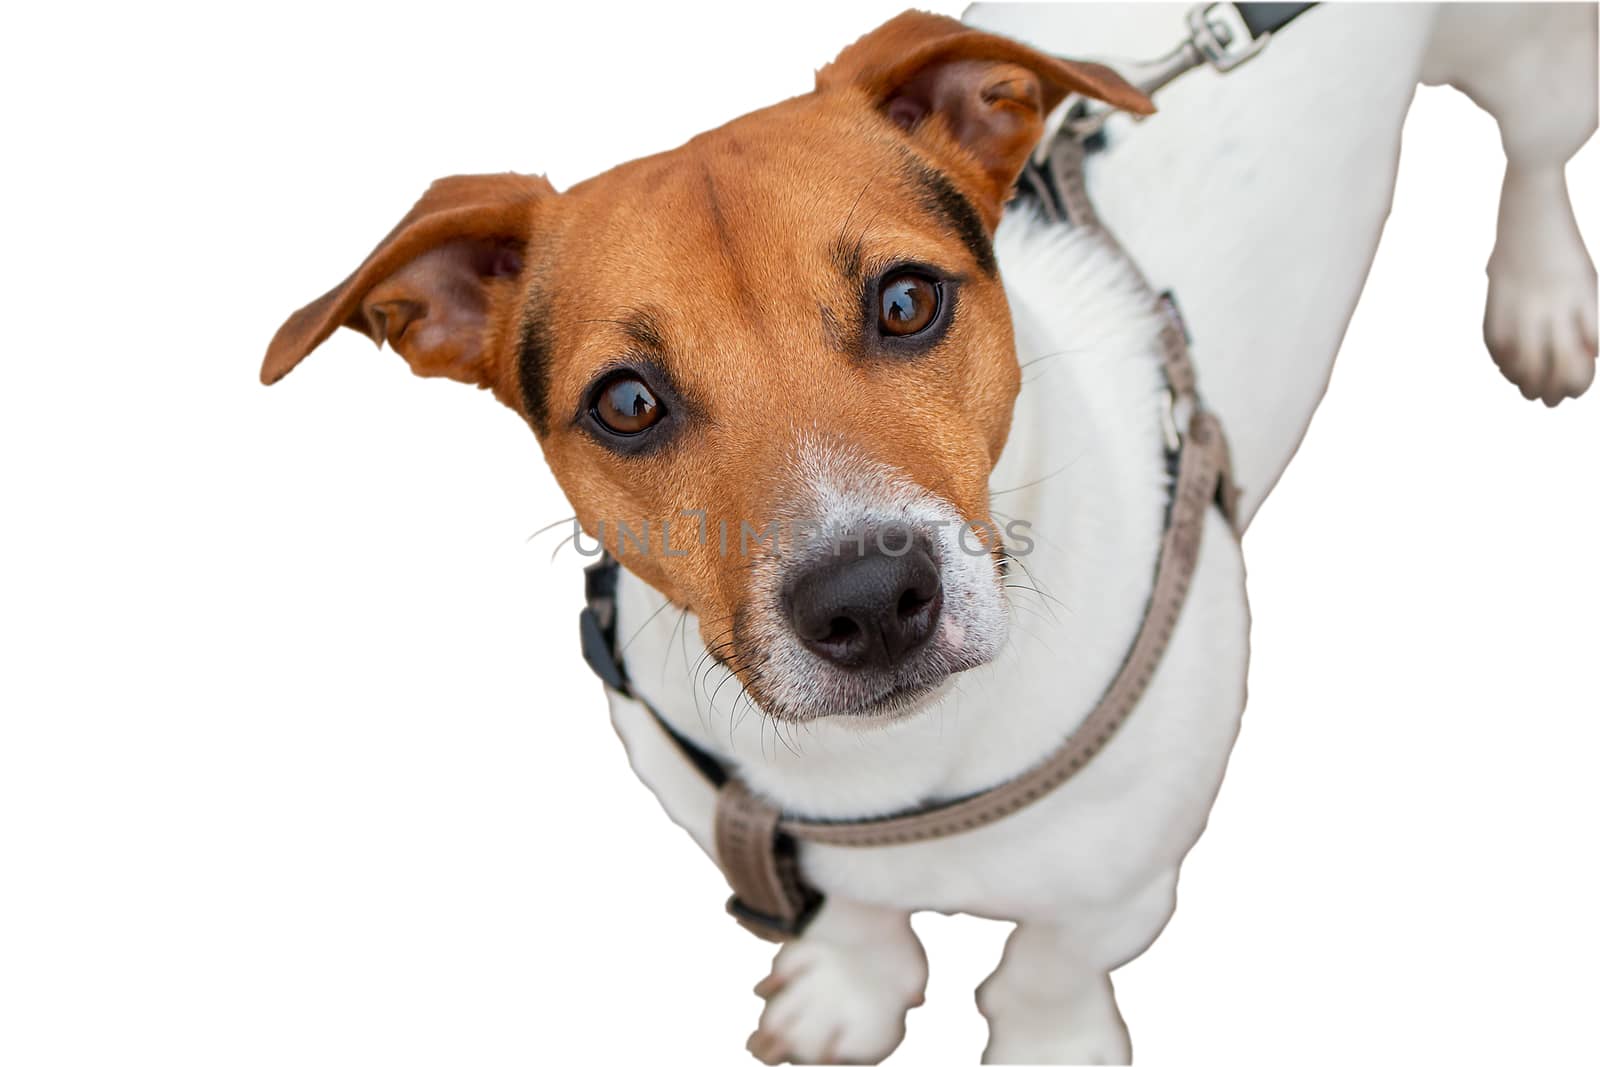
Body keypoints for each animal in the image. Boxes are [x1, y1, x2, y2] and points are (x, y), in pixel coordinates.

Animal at [256, 4, 1593, 1062]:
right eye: (625, 403)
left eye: (906, 299)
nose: (865, 600)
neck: (889, 772)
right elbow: (856, 917)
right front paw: (849, 988)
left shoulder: (1124, 884)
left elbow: (1050, 965)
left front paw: (1052, 1045)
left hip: (1529, 53)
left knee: (1535, 149)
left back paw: (1542, 293)